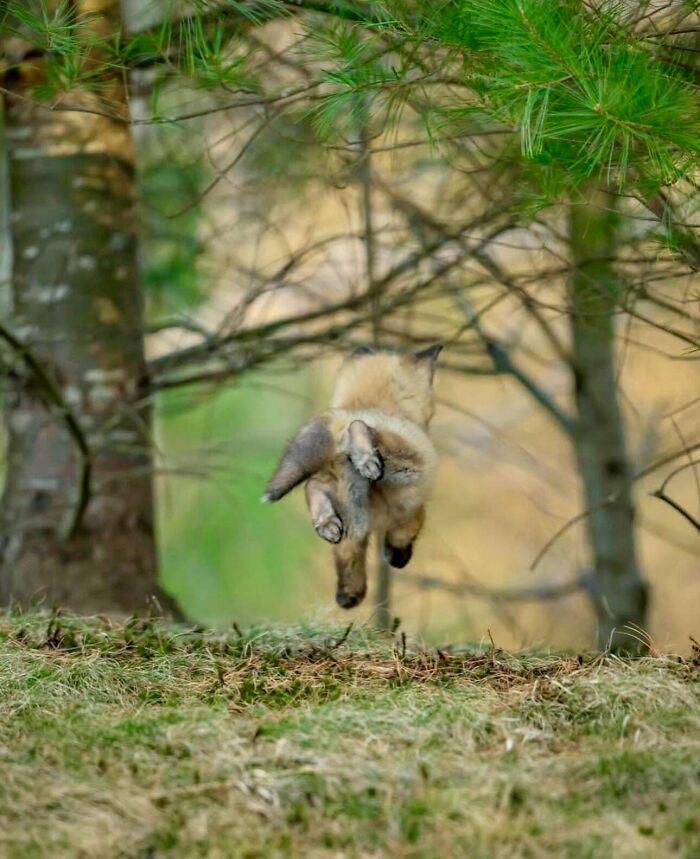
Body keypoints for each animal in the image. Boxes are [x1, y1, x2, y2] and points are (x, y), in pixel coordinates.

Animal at [262, 344, 441, 609]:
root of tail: (342, 417)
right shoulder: (411, 510)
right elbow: (404, 534)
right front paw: (397, 556)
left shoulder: (353, 530)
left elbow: (348, 559)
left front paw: (350, 593)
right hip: (404, 466)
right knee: (363, 430)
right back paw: (364, 451)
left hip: (340, 496)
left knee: (312, 487)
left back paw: (325, 522)